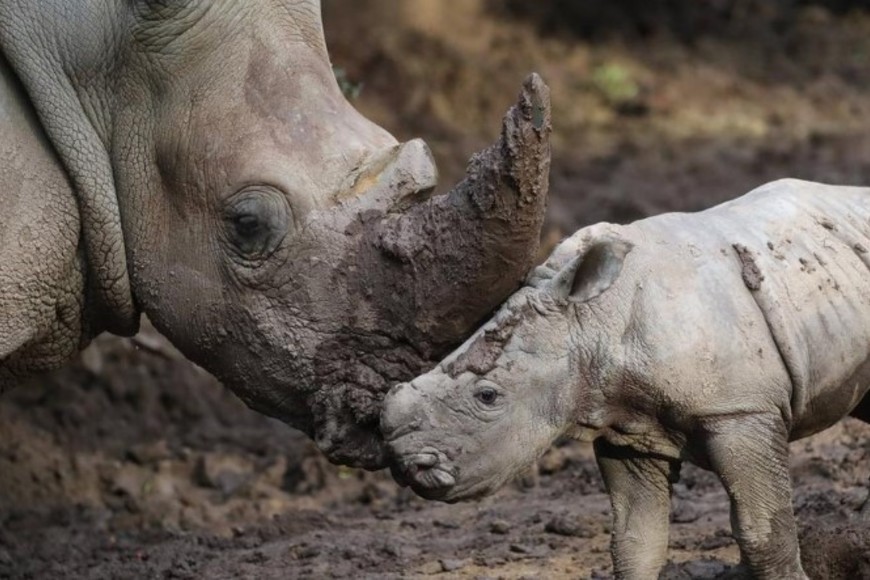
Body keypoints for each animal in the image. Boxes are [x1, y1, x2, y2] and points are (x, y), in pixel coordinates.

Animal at [384, 178, 870, 580]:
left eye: (487, 396)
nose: (408, 465)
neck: (588, 319)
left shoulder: (740, 409)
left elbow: (763, 530)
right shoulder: (626, 424)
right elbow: (635, 540)